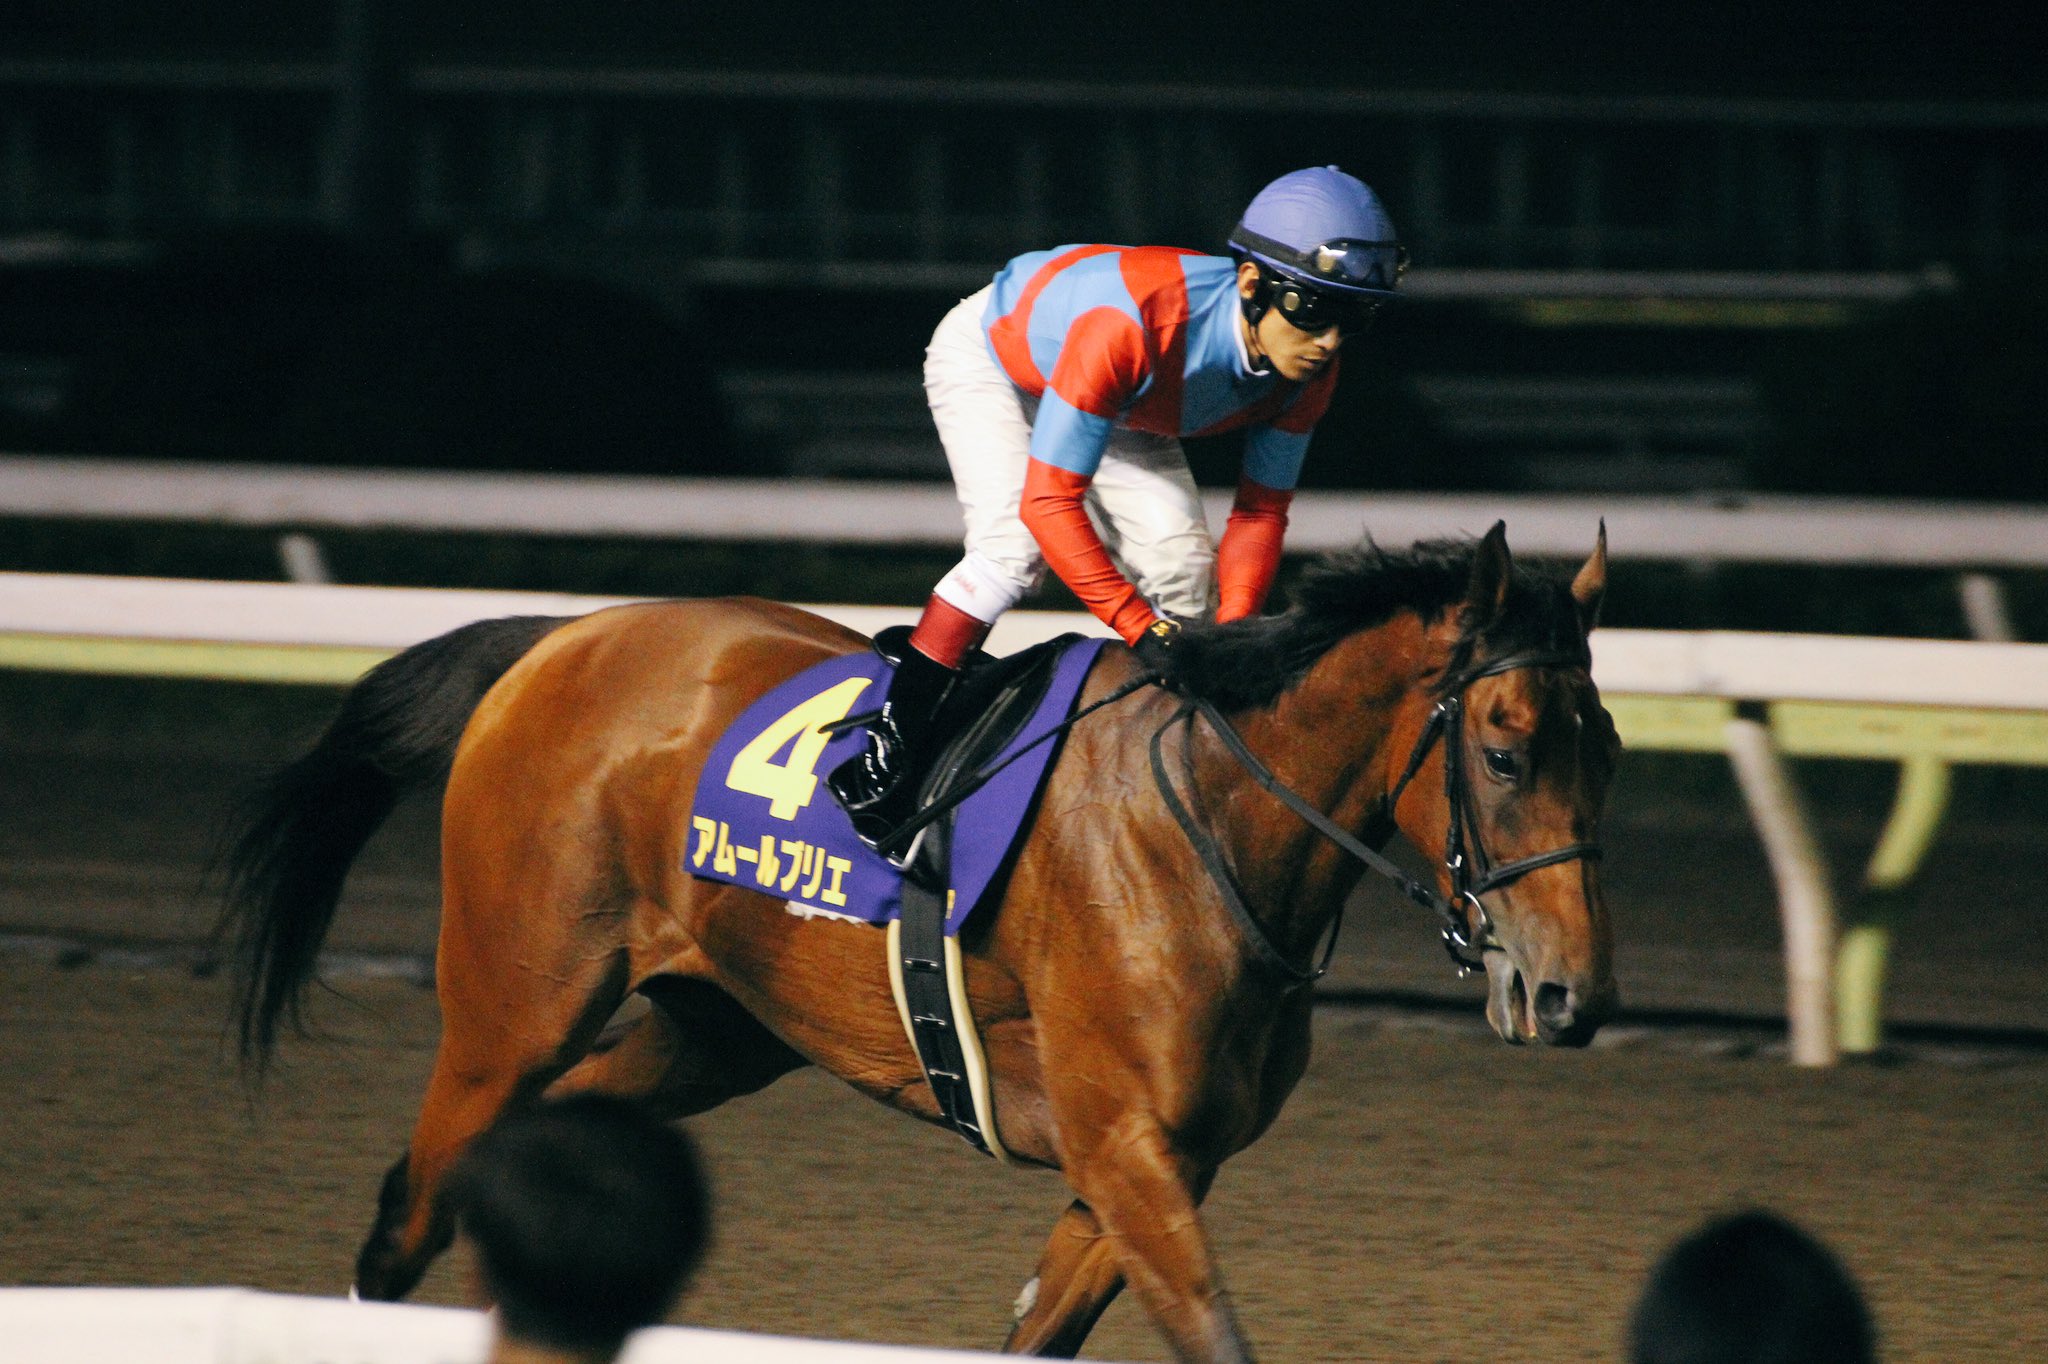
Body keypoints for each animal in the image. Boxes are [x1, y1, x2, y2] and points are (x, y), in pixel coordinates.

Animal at [219, 522, 1618, 1364]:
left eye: (1600, 744)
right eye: (1502, 751)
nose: (1572, 995)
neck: (1210, 823)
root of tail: (561, 636)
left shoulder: (1149, 1165)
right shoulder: (1127, 1147)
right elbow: (1215, 1336)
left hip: (715, 1029)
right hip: (510, 1004)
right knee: (409, 1206)